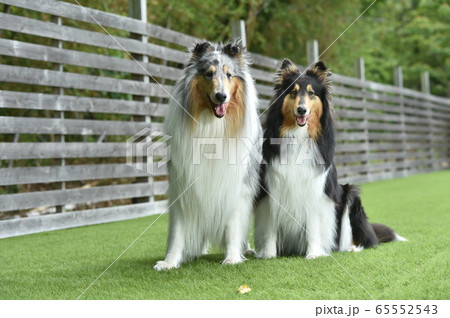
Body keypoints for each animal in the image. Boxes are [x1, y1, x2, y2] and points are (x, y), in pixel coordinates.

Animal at [154, 40, 262, 270]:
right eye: (209, 73)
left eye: (229, 75)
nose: (221, 96)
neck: (213, 124)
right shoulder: (183, 185)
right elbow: (178, 231)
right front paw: (169, 262)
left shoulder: (234, 187)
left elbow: (233, 226)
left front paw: (232, 258)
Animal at [255, 59, 406, 258]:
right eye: (293, 92)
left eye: (311, 93)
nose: (301, 110)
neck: (299, 136)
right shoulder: (272, 190)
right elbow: (270, 228)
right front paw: (269, 256)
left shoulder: (314, 191)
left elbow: (313, 225)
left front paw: (313, 255)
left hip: (350, 196)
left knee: (363, 239)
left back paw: (351, 247)